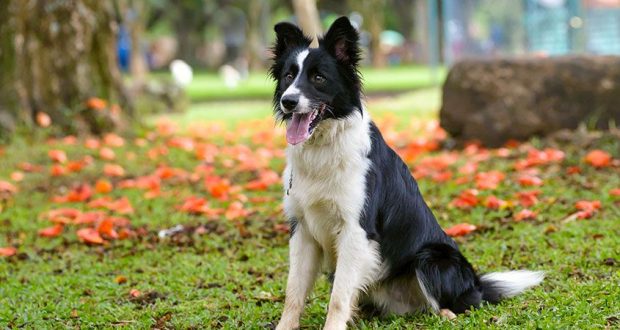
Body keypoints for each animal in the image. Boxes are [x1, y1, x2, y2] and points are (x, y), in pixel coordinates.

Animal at [270, 18, 544, 330]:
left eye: (318, 78)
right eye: (289, 76)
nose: (288, 102)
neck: (322, 148)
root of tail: (476, 285)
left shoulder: (355, 230)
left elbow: (338, 298)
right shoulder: (302, 228)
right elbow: (294, 293)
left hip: (431, 259)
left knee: (453, 304)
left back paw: (448, 313)